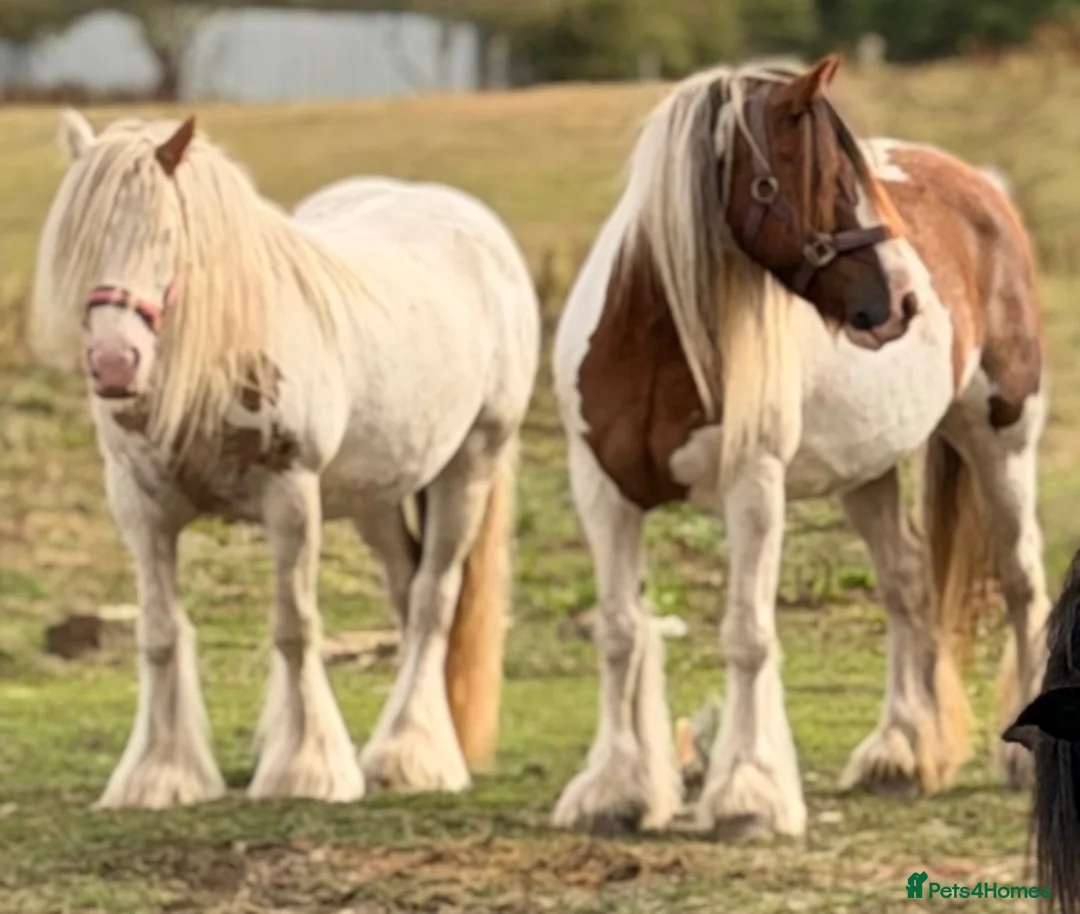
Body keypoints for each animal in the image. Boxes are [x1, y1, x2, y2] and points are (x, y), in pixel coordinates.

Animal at [29, 109, 541, 809]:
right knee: (407, 589)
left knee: (434, 598)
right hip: (376, 495)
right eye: (78, 242)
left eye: (167, 236)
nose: (114, 365)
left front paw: (304, 771)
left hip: (472, 464)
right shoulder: (141, 506)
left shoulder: (292, 496)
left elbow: (295, 627)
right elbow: (159, 632)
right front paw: (160, 776)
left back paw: (408, 755)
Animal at [551, 55, 1049, 838]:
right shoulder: (603, 490)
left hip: (1003, 436)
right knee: (907, 584)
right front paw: (614, 792)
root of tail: (983, 190)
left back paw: (1019, 761)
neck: (653, 342)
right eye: (832, 180)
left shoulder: (753, 486)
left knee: (1022, 580)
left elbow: (748, 634)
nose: (905, 301)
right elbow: (620, 633)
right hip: (869, 471)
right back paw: (898, 754)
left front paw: (748, 795)